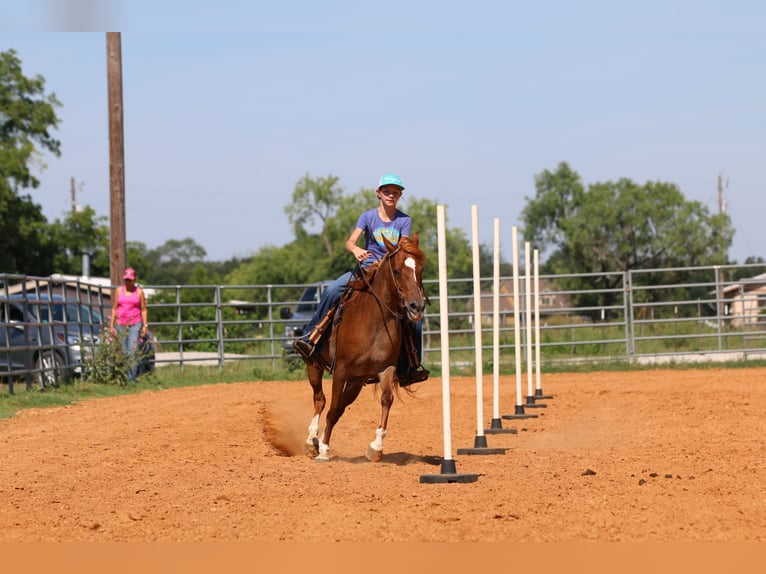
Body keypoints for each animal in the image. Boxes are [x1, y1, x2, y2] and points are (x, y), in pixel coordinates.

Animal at [300, 234, 427, 462]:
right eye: (397, 270)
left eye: (420, 270)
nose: (417, 306)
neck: (375, 321)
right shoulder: (341, 370)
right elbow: (332, 407)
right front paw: (324, 450)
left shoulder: (386, 369)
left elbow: (386, 399)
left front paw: (376, 447)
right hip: (313, 365)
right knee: (320, 400)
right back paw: (311, 440)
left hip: (356, 382)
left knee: (338, 407)